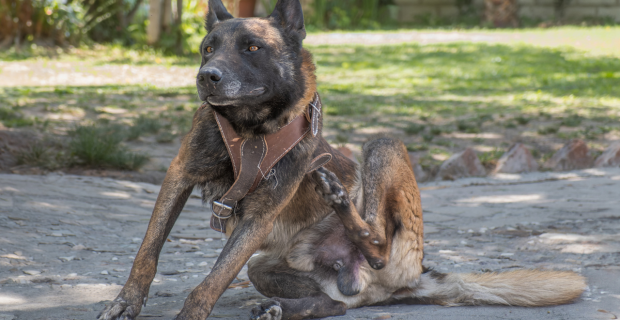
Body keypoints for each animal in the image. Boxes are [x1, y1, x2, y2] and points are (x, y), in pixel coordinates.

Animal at [97, 0, 588, 320]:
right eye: (207, 48)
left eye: (252, 47)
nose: (206, 77)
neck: (250, 131)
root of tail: (412, 278)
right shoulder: (178, 178)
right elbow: (147, 252)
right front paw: (126, 302)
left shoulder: (259, 215)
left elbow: (213, 280)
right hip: (264, 267)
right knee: (334, 303)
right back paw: (283, 306)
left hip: (383, 149)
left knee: (378, 243)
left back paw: (344, 209)